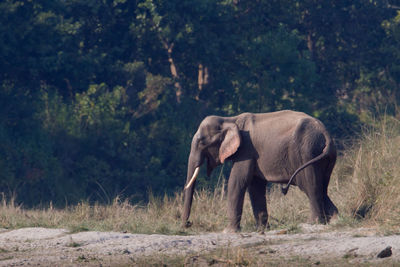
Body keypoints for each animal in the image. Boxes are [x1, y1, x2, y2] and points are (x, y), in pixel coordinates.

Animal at [183, 110, 340, 233]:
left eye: (202, 142)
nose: (188, 224)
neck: (230, 120)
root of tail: (326, 134)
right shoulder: (251, 154)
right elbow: (255, 186)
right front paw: (261, 229)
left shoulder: (246, 150)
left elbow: (238, 181)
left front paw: (228, 232)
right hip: (323, 157)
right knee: (321, 187)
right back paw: (334, 220)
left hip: (306, 153)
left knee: (310, 186)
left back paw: (312, 222)